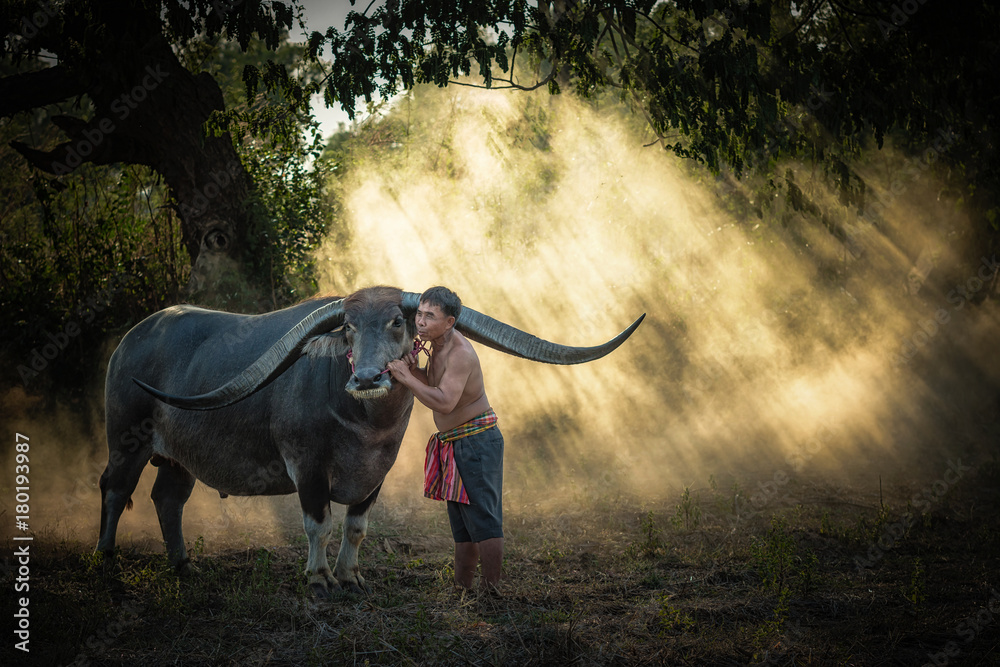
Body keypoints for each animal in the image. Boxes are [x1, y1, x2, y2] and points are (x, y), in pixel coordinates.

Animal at [97, 284, 644, 596]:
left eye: (397, 321)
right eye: (348, 329)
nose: (365, 377)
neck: (362, 424)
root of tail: (131, 340)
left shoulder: (377, 473)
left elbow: (356, 527)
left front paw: (350, 576)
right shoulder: (307, 468)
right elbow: (318, 523)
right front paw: (319, 579)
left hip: (177, 459)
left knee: (167, 498)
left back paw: (183, 566)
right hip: (126, 440)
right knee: (115, 489)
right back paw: (106, 562)